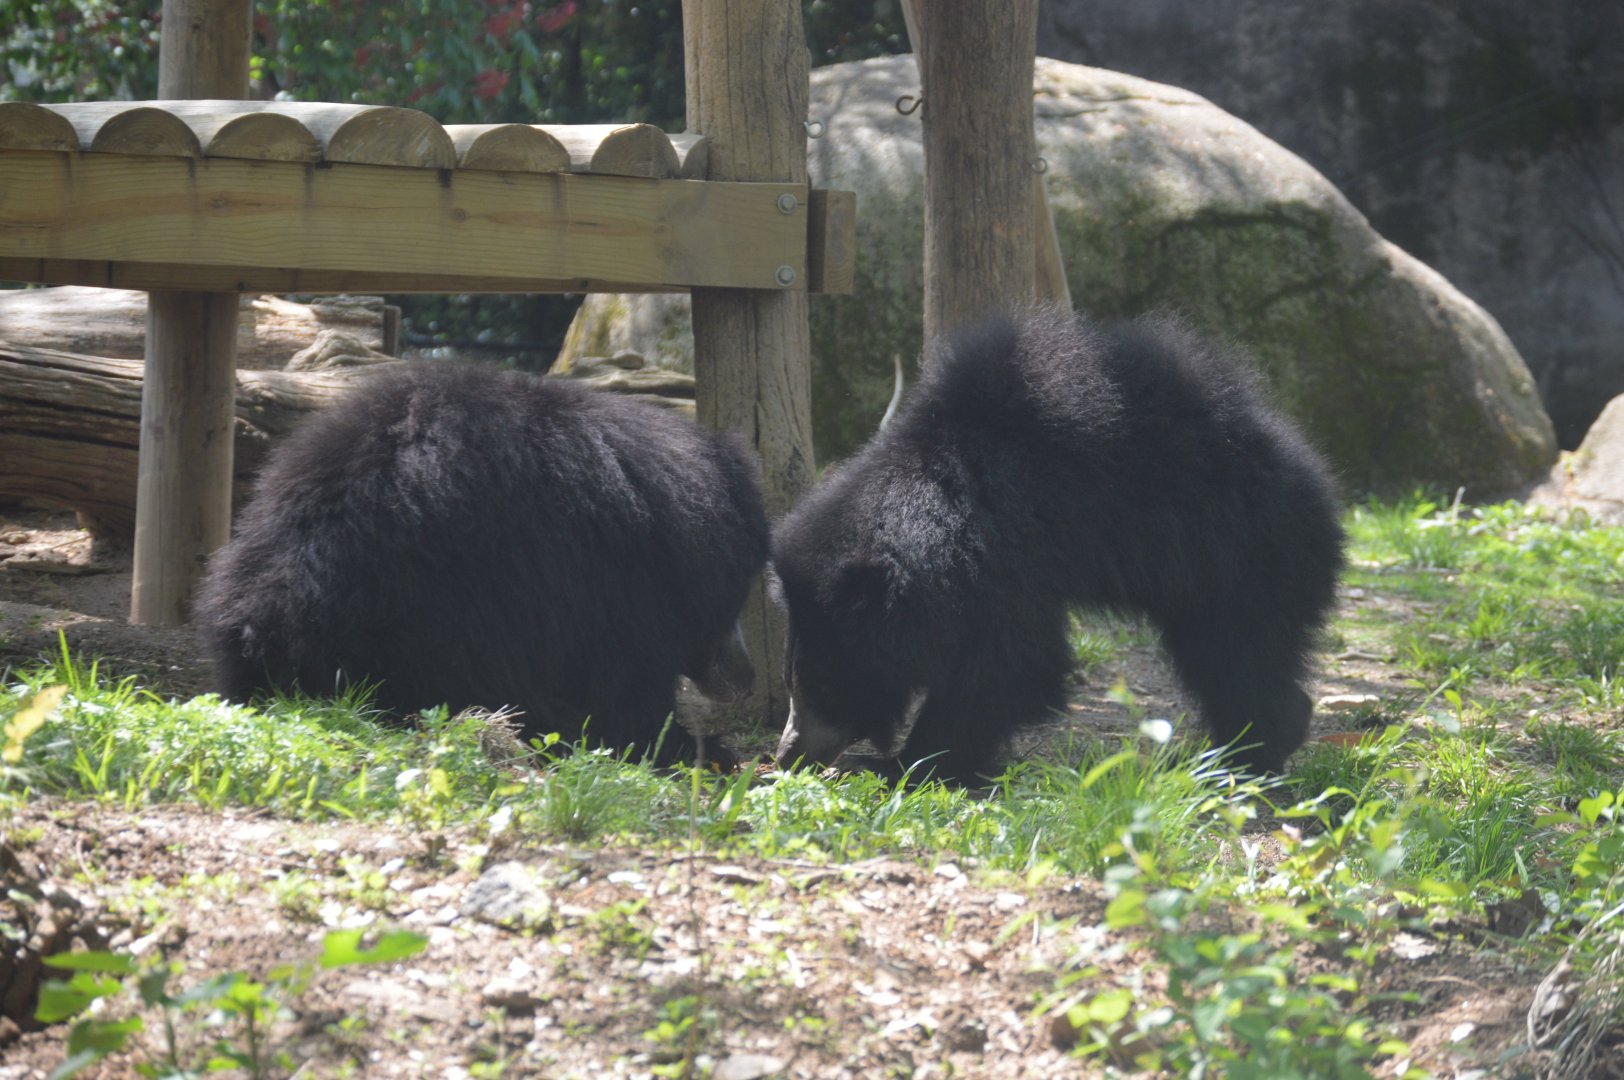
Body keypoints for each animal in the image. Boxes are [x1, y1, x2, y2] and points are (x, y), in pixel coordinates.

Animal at [770, 308, 1345, 782]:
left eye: (821, 686)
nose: (787, 755)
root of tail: (1313, 472)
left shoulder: (1009, 554)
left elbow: (1014, 665)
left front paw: (903, 764)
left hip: (1242, 555)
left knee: (1237, 656)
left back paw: (1247, 757)